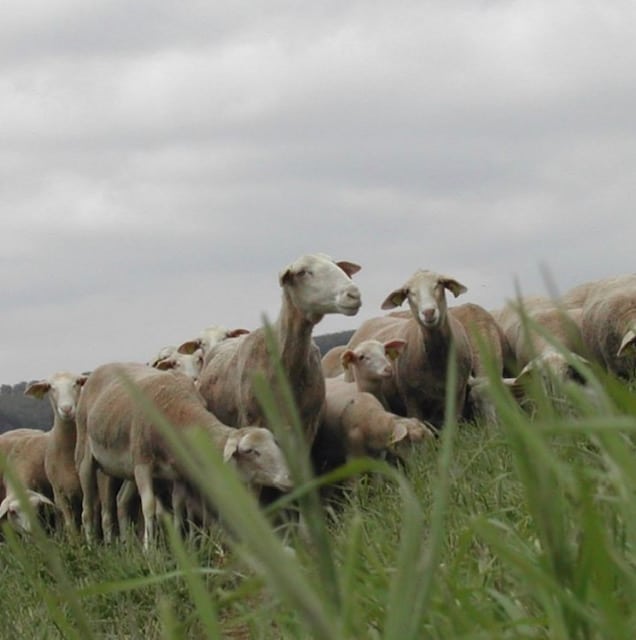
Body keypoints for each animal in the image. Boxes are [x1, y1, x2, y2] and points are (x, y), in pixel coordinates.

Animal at [77, 362, 294, 548]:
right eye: (250, 451)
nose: (289, 478)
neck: (176, 410)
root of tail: (100, 368)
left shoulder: (178, 470)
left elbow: (179, 507)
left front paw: (180, 547)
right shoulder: (142, 462)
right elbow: (149, 506)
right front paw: (150, 553)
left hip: (128, 469)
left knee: (121, 501)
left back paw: (127, 547)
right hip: (87, 458)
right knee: (89, 509)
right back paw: (93, 547)